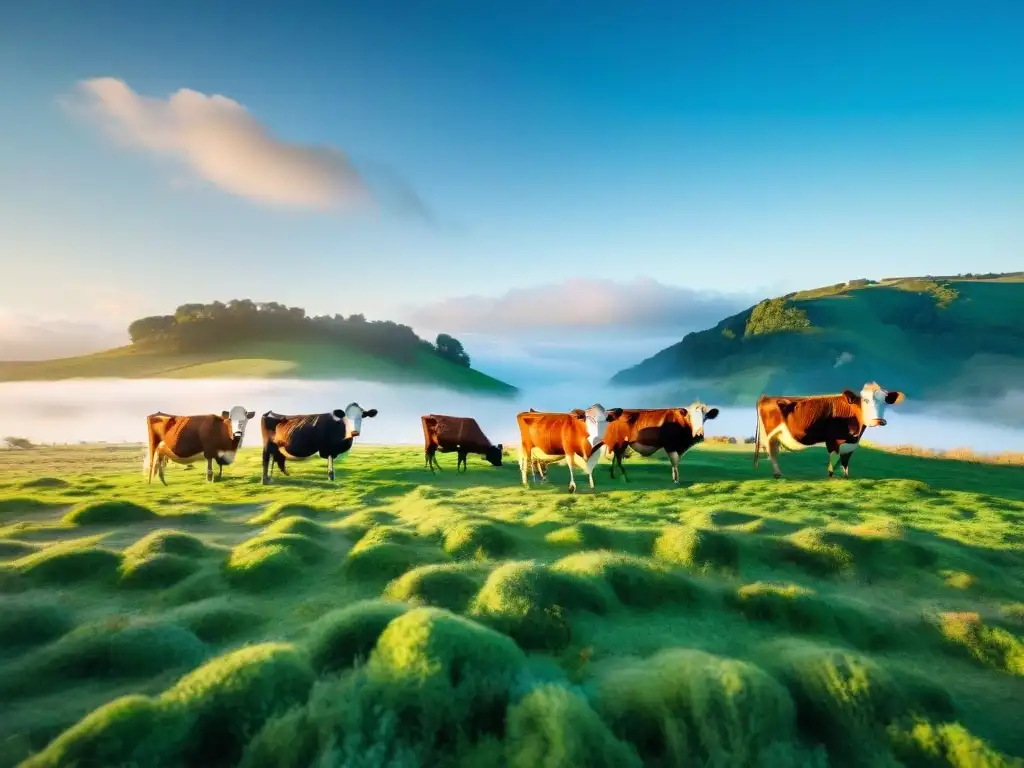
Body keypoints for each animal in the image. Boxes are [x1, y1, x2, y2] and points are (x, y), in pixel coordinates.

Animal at [753, 382, 905, 479]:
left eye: (885, 402)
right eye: (865, 401)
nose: (878, 421)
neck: (856, 433)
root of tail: (766, 397)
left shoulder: (850, 443)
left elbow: (845, 460)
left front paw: (846, 476)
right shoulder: (833, 439)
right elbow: (834, 457)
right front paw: (831, 475)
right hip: (770, 435)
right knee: (771, 452)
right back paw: (777, 474)